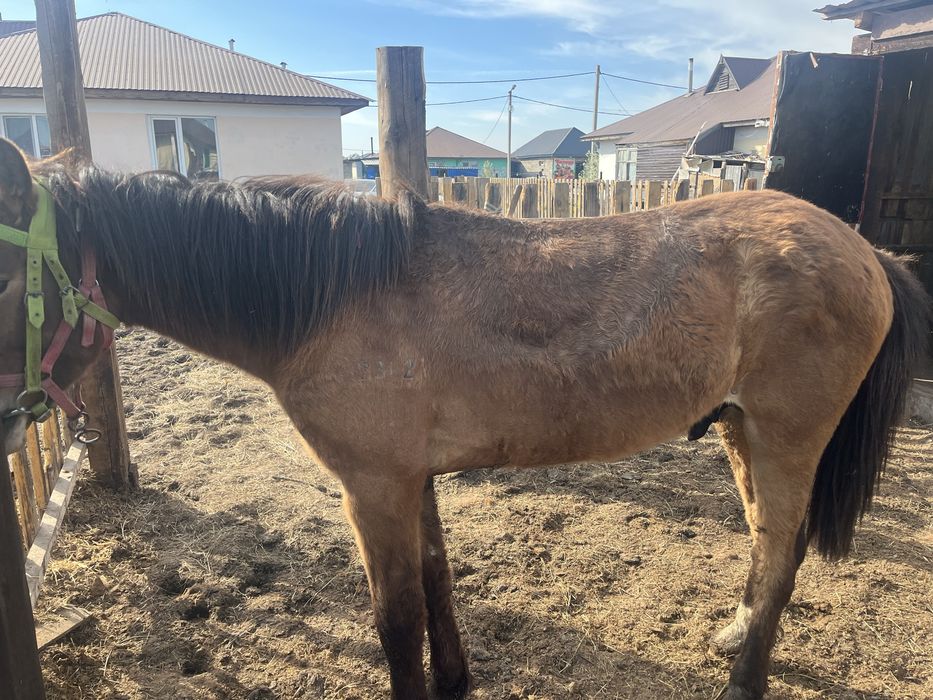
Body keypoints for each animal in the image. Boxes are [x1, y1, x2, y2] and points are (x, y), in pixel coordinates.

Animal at [0, 138, 929, 700]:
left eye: (9, 277)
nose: (10, 420)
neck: (332, 295)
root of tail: (863, 251)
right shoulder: (411, 480)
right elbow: (438, 583)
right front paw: (455, 680)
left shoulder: (372, 487)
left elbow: (395, 618)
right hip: (739, 430)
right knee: (768, 546)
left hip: (783, 438)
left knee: (781, 554)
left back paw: (744, 677)